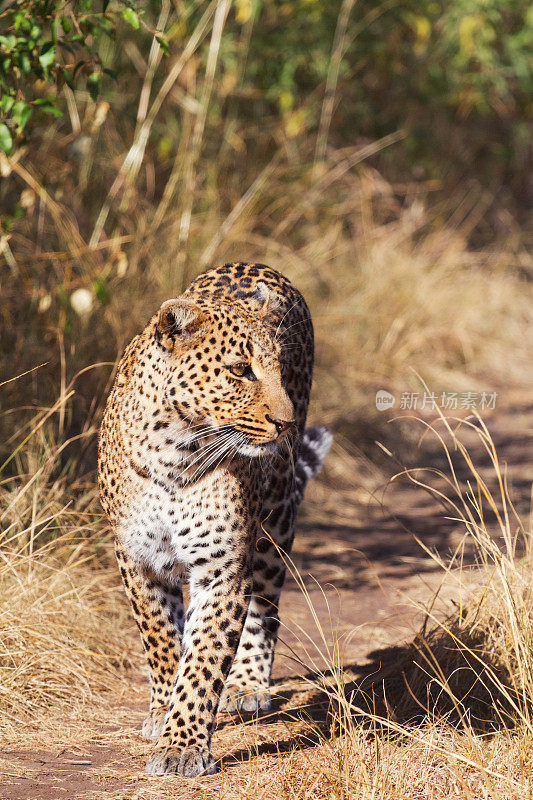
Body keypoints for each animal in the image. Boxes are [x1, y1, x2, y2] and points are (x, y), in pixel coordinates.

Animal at [97, 262, 330, 776]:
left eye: (277, 371)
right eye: (240, 370)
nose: (285, 423)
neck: (175, 452)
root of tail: (260, 263)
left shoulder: (222, 567)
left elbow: (204, 659)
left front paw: (183, 746)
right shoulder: (136, 559)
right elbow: (162, 640)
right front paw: (163, 712)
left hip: (275, 526)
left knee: (265, 609)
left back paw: (246, 686)